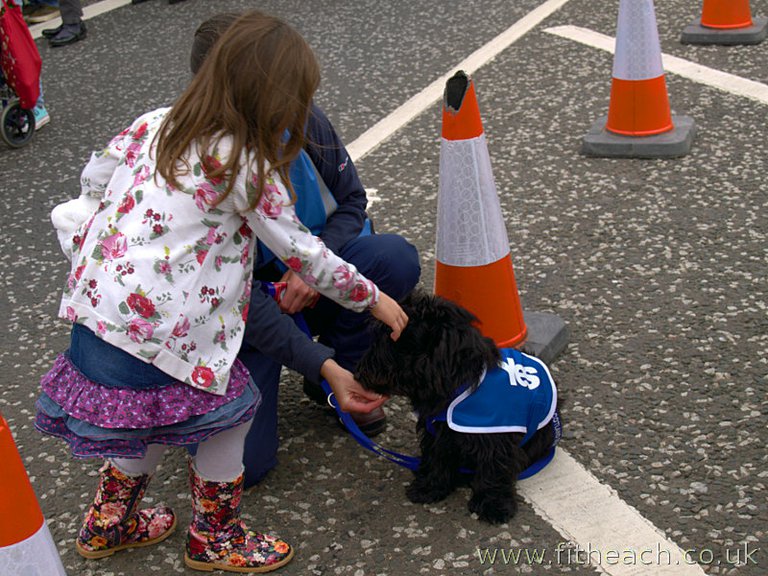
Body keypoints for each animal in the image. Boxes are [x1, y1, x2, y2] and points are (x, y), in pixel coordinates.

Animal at [356, 290, 564, 524]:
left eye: (392, 338)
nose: (358, 374)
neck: (458, 384)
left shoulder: (495, 439)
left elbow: (494, 471)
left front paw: (493, 505)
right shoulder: (438, 433)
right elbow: (436, 459)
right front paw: (430, 488)